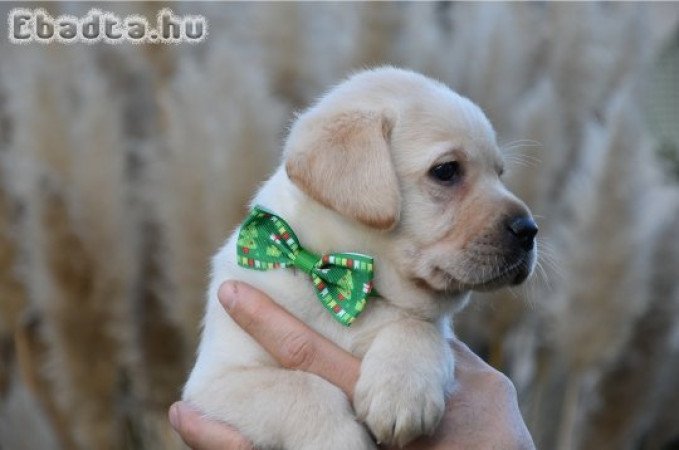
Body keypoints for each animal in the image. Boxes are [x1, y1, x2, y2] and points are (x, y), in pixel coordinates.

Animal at [183, 67, 540, 450]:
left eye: (499, 174)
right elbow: (302, 387)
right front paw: (339, 439)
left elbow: (417, 325)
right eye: (446, 171)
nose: (529, 230)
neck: (336, 279)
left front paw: (401, 392)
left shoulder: (433, 324)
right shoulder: (217, 380)